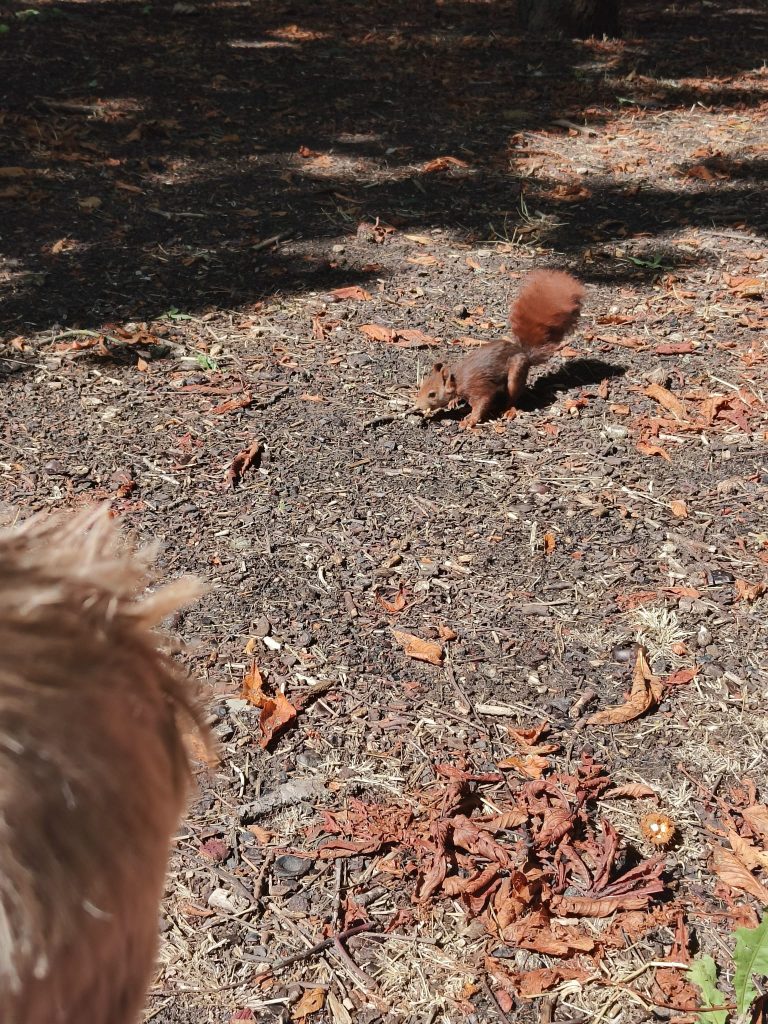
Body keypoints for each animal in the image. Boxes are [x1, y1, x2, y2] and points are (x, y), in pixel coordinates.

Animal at [417, 270, 585, 425]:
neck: (458, 379)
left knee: (513, 396)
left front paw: (470, 420)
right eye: (422, 386)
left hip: (515, 373)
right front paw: (453, 401)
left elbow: (482, 402)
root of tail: (524, 353)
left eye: (432, 394)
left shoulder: (478, 387)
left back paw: (507, 409)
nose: (418, 406)